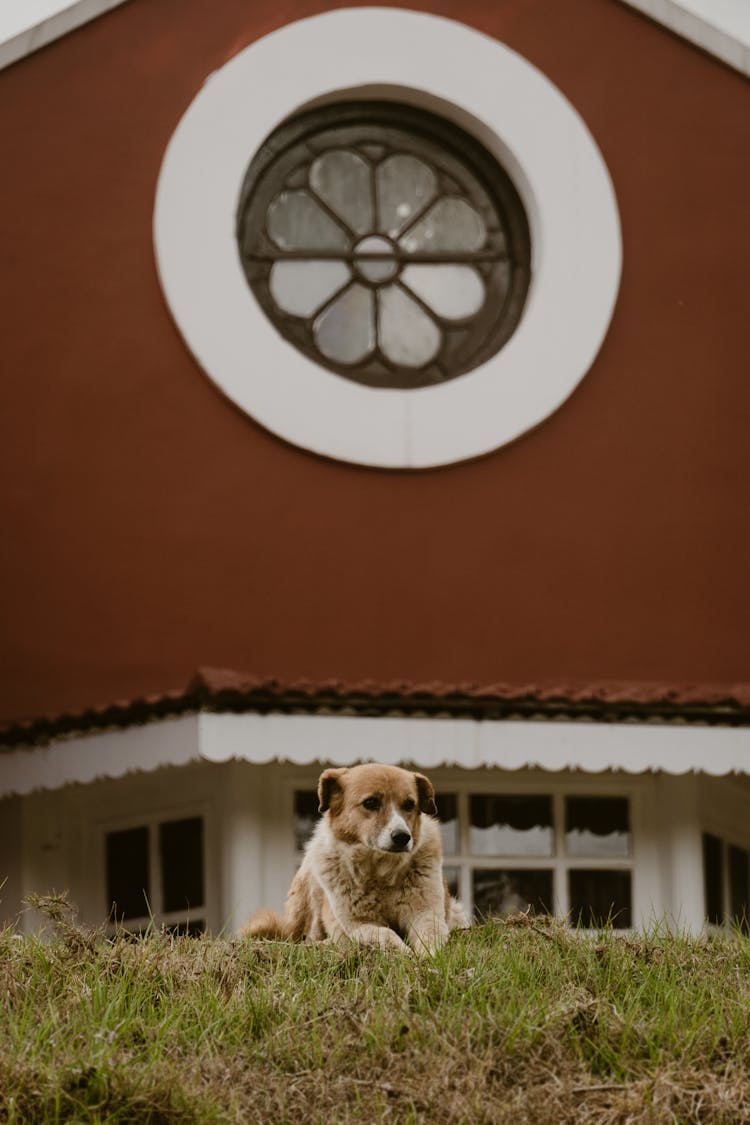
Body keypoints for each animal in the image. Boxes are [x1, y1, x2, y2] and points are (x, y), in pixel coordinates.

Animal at [246, 760, 465, 954]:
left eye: (409, 805)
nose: (403, 837)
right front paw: (405, 953)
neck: (380, 875)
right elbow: (387, 934)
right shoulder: (360, 924)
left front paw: (429, 957)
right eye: (371, 802)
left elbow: (429, 936)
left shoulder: (425, 913)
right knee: (308, 936)